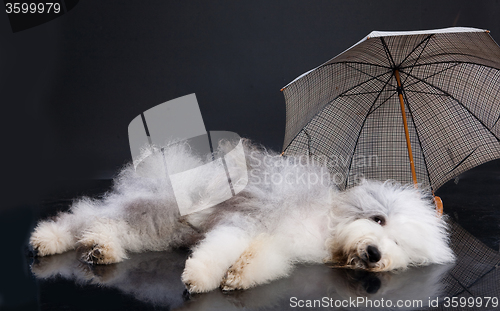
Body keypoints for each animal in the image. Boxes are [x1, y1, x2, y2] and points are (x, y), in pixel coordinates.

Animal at [29, 140, 456, 294]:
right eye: (379, 220)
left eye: (398, 244)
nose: (374, 254)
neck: (325, 227)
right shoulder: (249, 217)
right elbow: (219, 247)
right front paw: (201, 278)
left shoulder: (278, 244)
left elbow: (262, 260)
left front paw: (237, 277)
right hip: (156, 210)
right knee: (85, 214)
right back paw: (48, 239)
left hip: (160, 229)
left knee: (108, 226)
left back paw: (100, 249)